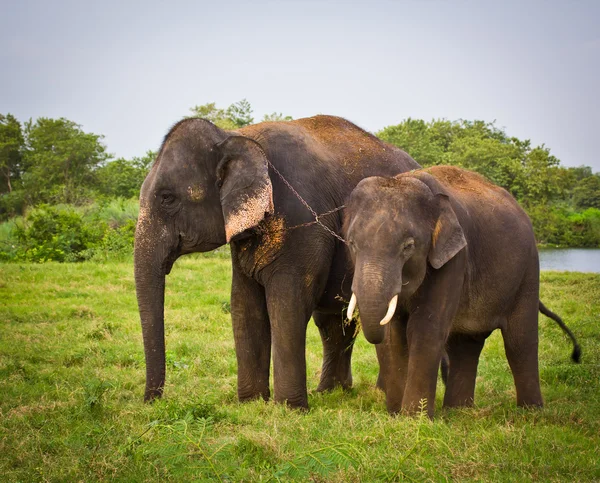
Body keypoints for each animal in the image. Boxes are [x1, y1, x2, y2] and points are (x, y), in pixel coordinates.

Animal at [135, 116, 418, 408]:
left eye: (167, 198)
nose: (151, 402)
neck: (236, 135)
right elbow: (245, 305)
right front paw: (251, 403)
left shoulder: (302, 224)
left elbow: (287, 304)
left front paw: (289, 408)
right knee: (333, 322)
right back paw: (331, 392)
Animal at [342, 167, 580, 420]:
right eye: (352, 243)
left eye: (408, 246)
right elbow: (394, 335)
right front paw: (396, 416)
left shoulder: (454, 259)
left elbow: (426, 328)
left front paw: (415, 418)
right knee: (465, 345)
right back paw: (459, 411)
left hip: (528, 272)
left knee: (520, 342)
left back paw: (531, 411)